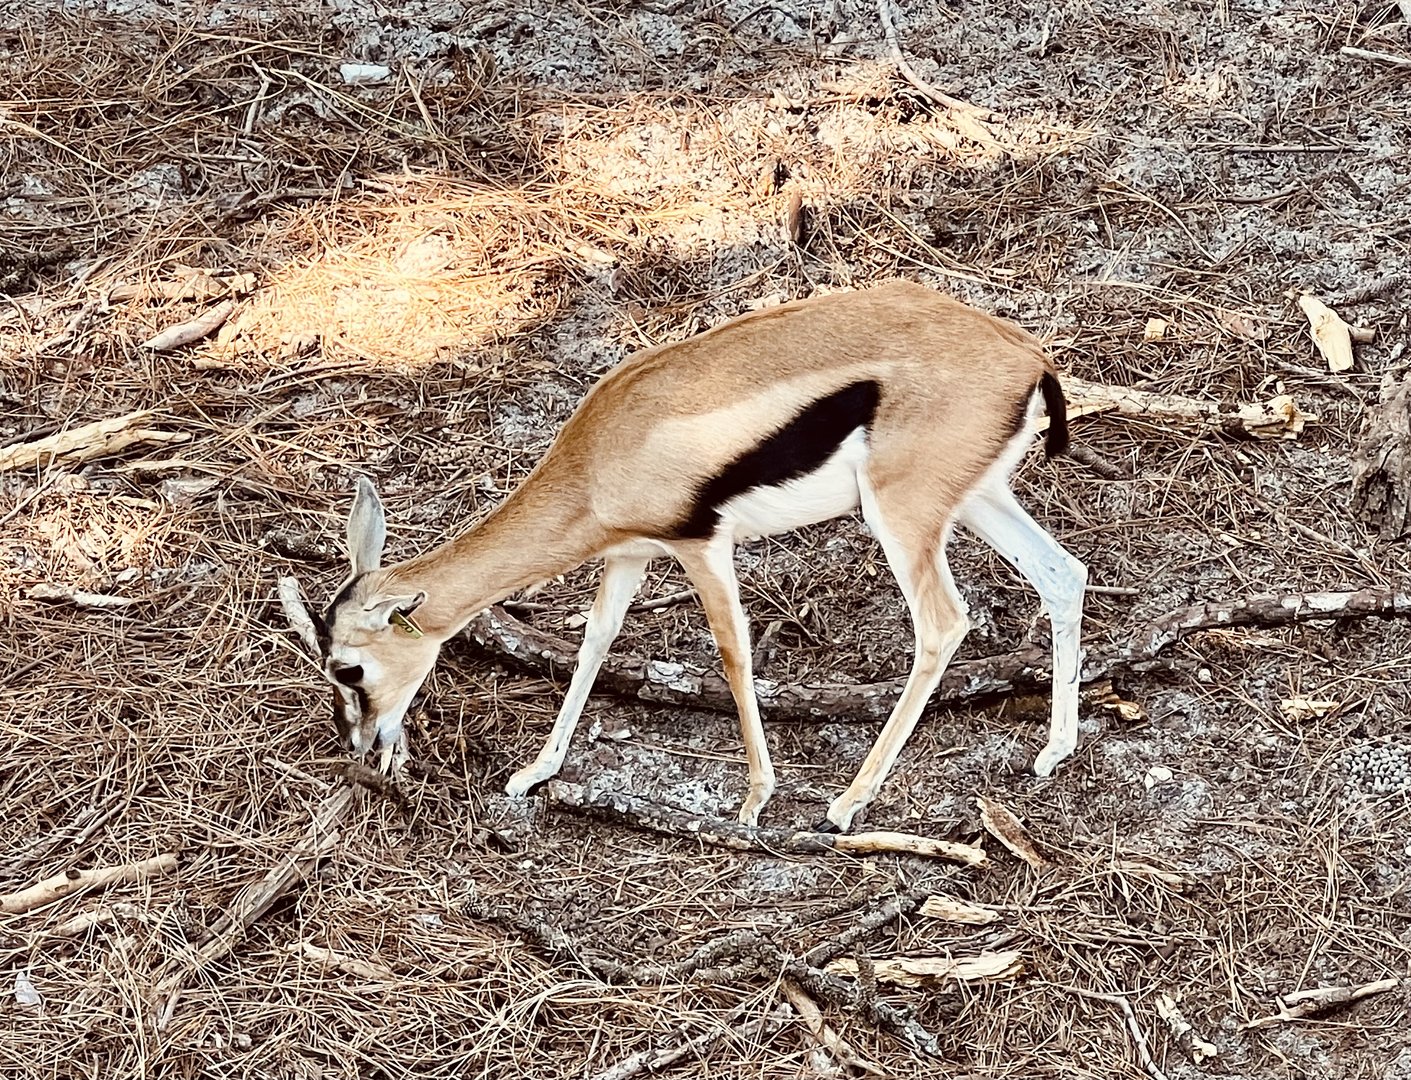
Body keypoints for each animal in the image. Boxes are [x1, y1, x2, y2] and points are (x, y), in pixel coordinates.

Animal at [311, 281, 1087, 832]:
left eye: (349, 668)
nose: (359, 744)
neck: (597, 457)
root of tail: (1026, 354)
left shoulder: (700, 546)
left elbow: (732, 654)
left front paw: (752, 801)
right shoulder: (629, 555)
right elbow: (594, 642)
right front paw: (536, 772)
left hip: (902, 516)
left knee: (943, 623)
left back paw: (847, 804)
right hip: (978, 498)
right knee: (1063, 573)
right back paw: (1053, 752)